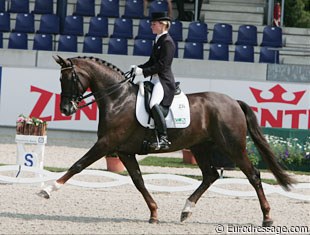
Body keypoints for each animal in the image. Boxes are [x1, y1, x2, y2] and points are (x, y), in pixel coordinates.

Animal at [38, 56, 296, 227]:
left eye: (70, 78)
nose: (66, 109)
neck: (118, 99)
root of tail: (233, 102)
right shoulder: (123, 151)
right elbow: (138, 181)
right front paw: (153, 213)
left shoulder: (107, 143)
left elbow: (78, 165)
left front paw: (48, 189)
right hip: (200, 147)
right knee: (210, 175)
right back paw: (186, 210)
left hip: (232, 146)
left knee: (253, 175)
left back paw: (267, 217)